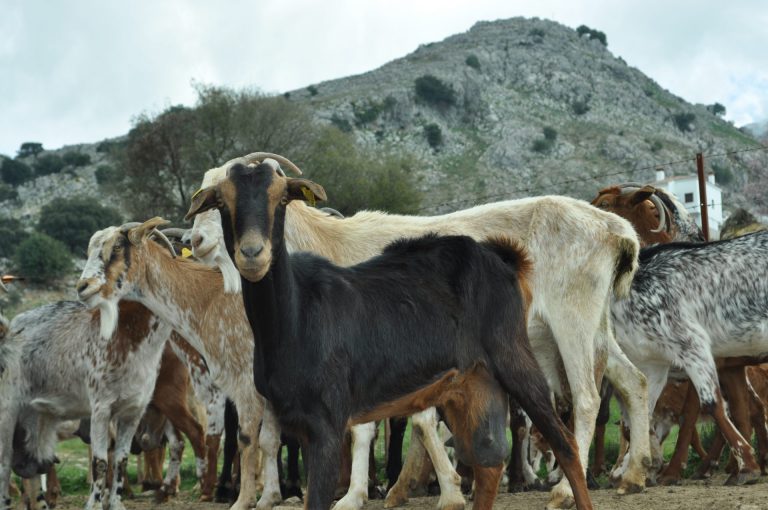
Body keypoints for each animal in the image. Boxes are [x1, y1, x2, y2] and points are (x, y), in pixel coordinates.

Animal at [189, 152, 652, 510]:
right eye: (213, 198)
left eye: (279, 195)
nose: (194, 241)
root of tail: (617, 230)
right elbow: (412, 423)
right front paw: (404, 487)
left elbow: (387, 428)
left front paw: (377, 492)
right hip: (595, 329)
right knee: (634, 381)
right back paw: (634, 473)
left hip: (569, 323)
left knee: (586, 400)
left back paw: (564, 491)